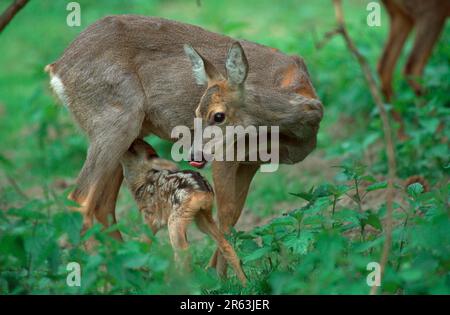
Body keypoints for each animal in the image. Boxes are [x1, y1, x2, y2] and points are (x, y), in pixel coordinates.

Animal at [46, 16, 324, 278]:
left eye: (218, 116)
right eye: (196, 112)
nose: (193, 154)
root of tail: (56, 67)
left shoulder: (253, 161)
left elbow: (234, 214)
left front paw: (216, 273)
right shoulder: (228, 155)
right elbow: (226, 213)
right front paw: (219, 278)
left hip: (122, 136)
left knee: (102, 206)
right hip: (114, 121)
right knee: (80, 199)